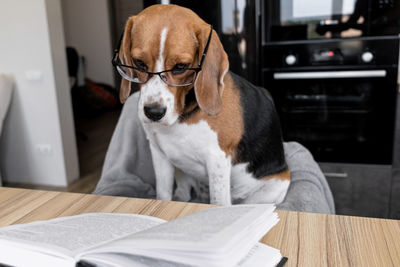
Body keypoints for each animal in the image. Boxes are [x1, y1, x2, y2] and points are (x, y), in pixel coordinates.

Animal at [115, 4, 290, 206]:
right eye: (139, 63)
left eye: (181, 66)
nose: (153, 112)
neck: (182, 118)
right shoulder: (159, 154)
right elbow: (163, 195)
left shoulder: (217, 161)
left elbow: (219, 201)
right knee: (184, 190)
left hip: (270, 189)